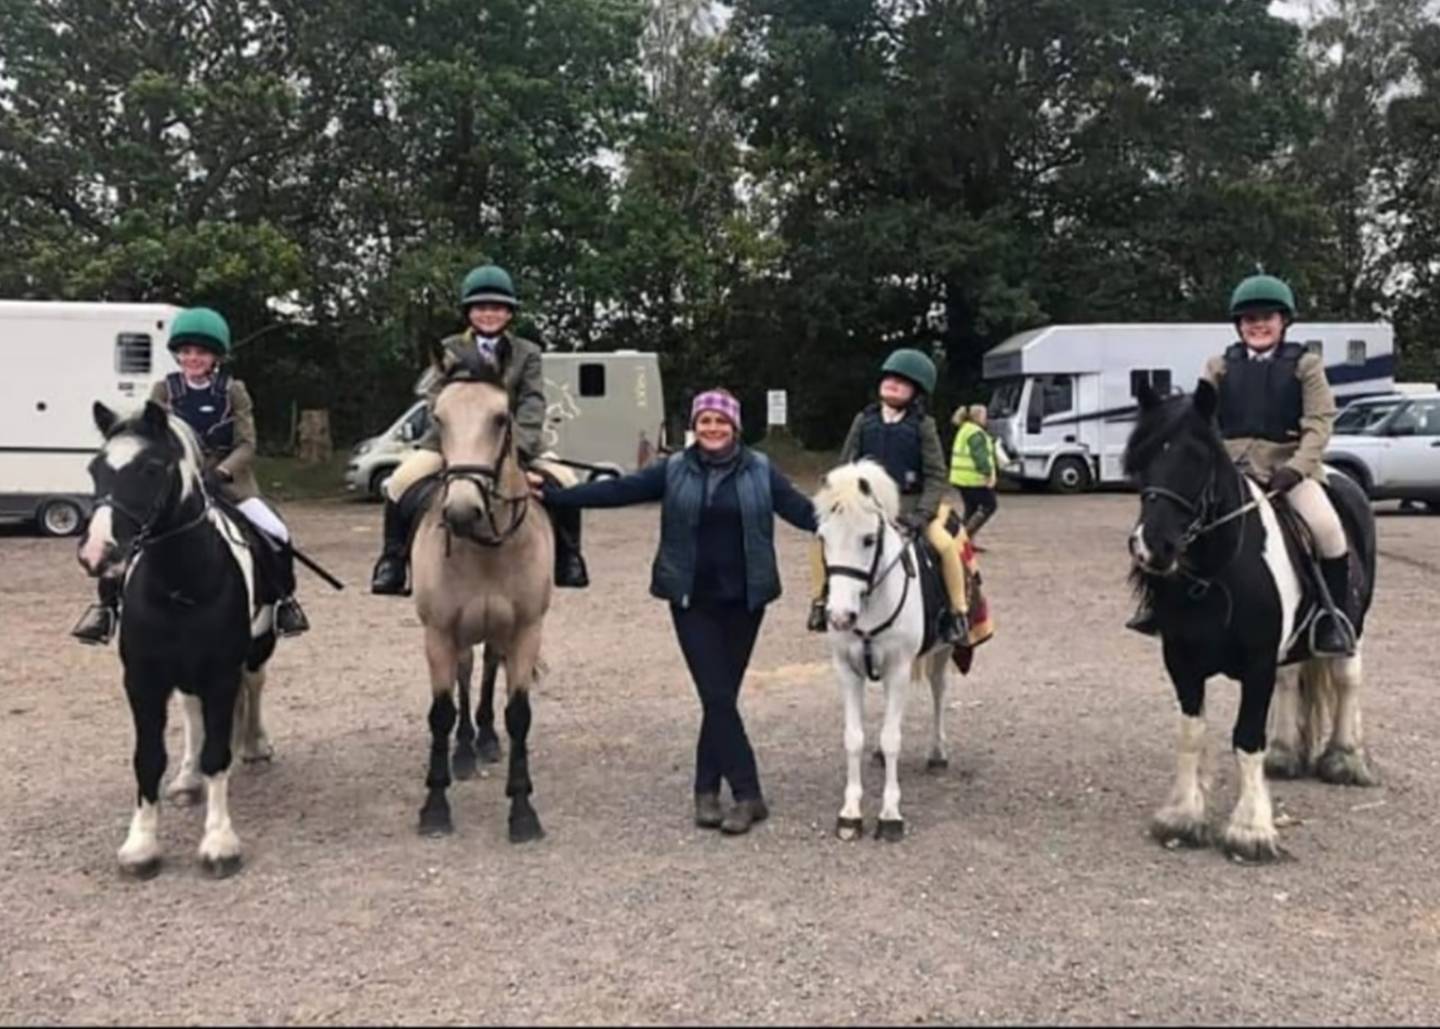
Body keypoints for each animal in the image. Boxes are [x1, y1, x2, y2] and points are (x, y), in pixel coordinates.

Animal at [79, 400, 277, 875]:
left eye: (151, 468)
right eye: (95, 469)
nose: (97, 554)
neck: (179, 584)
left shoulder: (221, 673)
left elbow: (218, 754)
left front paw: (219, 842)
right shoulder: (143, 679)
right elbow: (148, 758)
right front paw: (140, 845)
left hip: (258, 647)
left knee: (255, 685)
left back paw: (255, 745)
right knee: (191, 712)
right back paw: (187, 779)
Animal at [812, 463, 956, 840]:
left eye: (868, 539)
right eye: (823, 538)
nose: (839, 616)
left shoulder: (899, 671)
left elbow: (893, 739)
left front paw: (890, 814)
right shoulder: (847, 671)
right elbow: (853, 738)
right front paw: (850, 813)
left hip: (943, 651)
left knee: (939, 692)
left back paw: (938, 752)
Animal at [1123, 382, 1382, 863]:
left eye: (1198, 460)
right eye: (1142, 460)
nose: (1153, 547)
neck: (1218, 572)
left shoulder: (1258, 663)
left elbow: (1246, 737)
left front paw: (1250, 829)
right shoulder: (1181, 662)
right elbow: (1191, 733)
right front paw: (1183, 817)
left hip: (1353, 625)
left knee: (1347, 678)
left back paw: (1345, 758)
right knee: (1293, 678)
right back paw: (1284, 754)